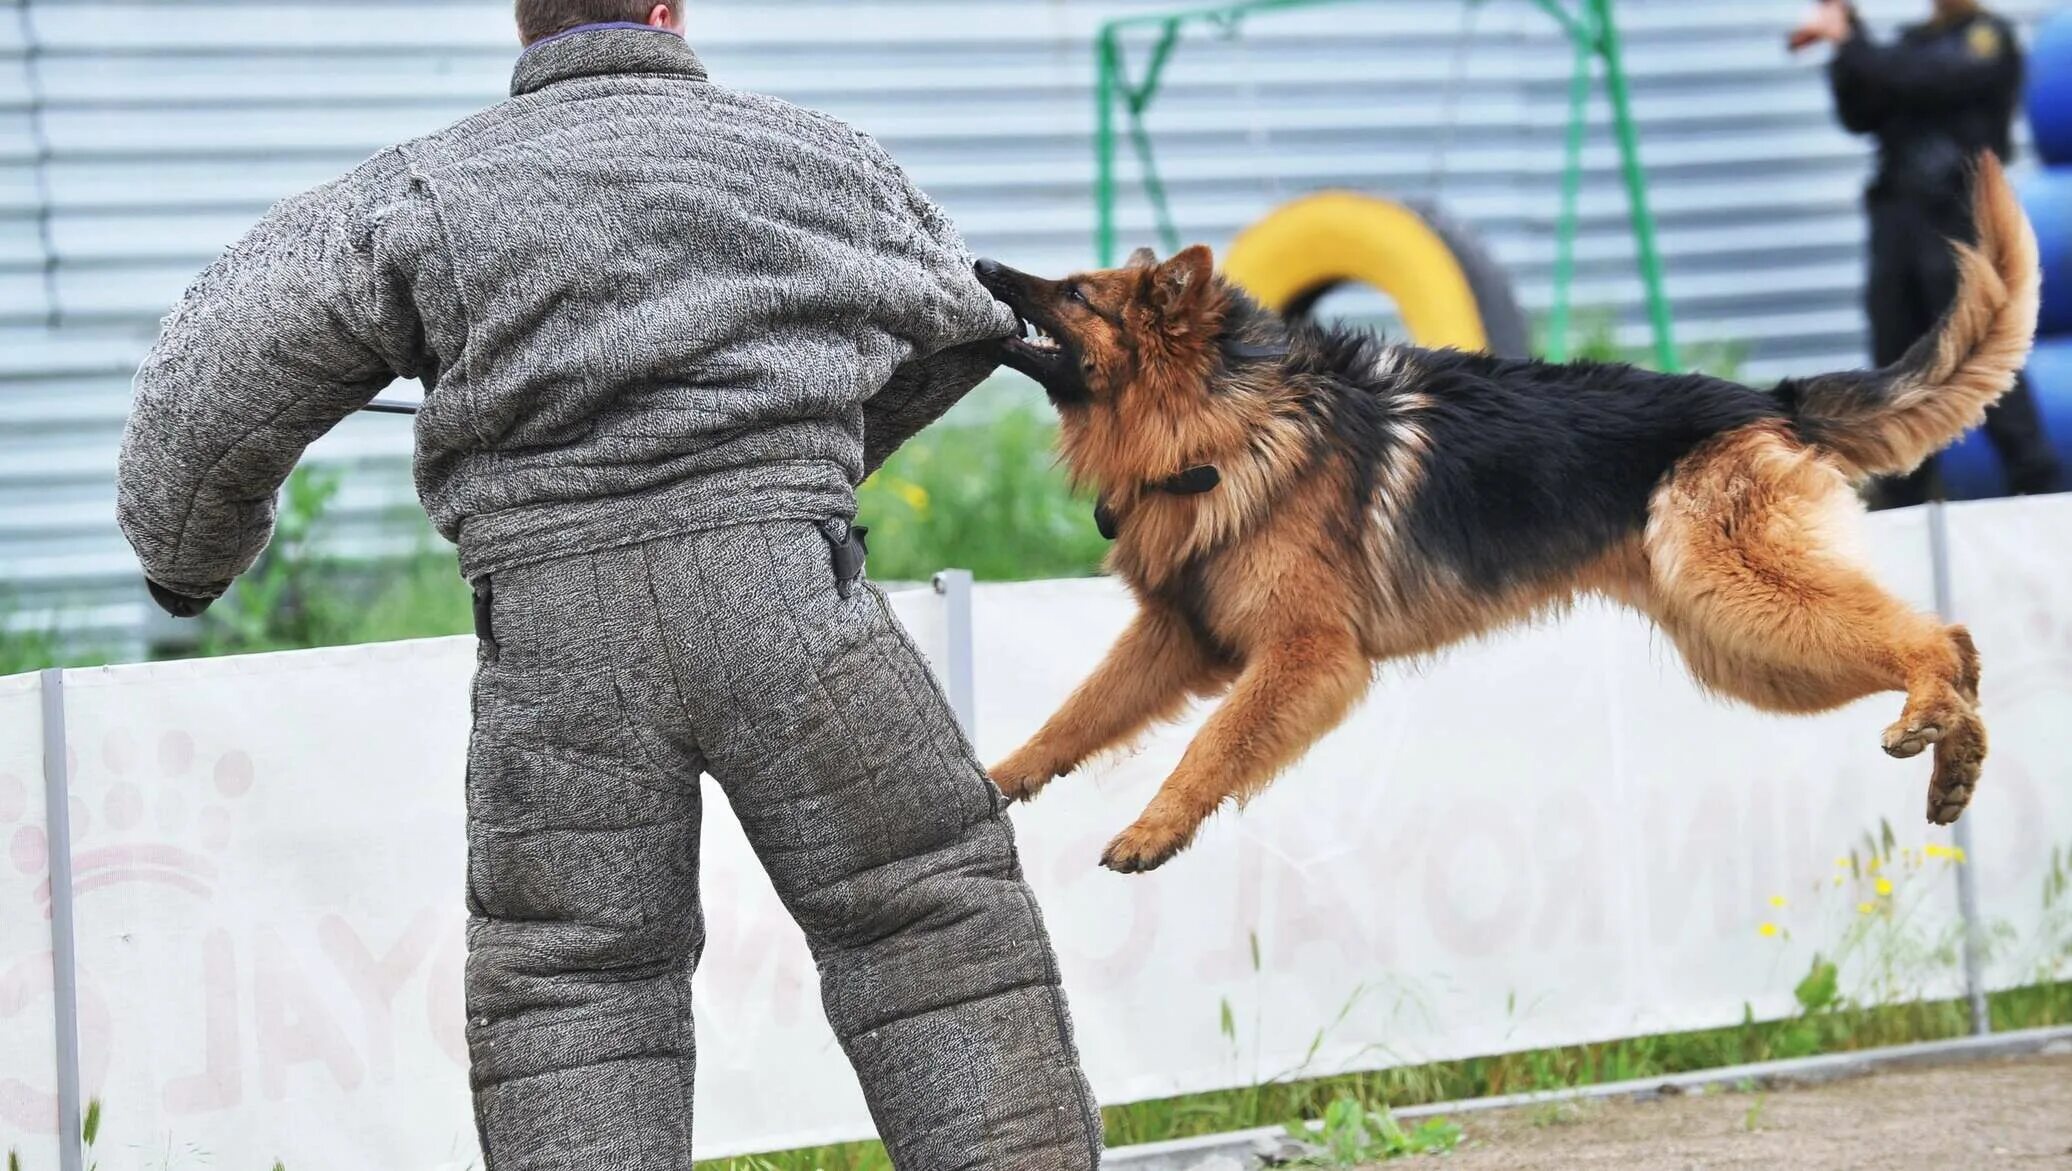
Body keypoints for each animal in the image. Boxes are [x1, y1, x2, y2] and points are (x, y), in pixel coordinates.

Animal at [973, 155, 2038, 870]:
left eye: (1076, 293)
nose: (981, 264)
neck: (1219, 422)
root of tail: (1768, 398)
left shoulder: (1306, 655)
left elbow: (1210, 744)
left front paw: (1153, 829)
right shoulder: (1178, 633)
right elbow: (1076, 713)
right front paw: (996, 779)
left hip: (1740, 598)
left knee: (1937, 635)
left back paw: (1932, 717)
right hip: (1743, 647)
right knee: (1961, 644)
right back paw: (1957, 763)